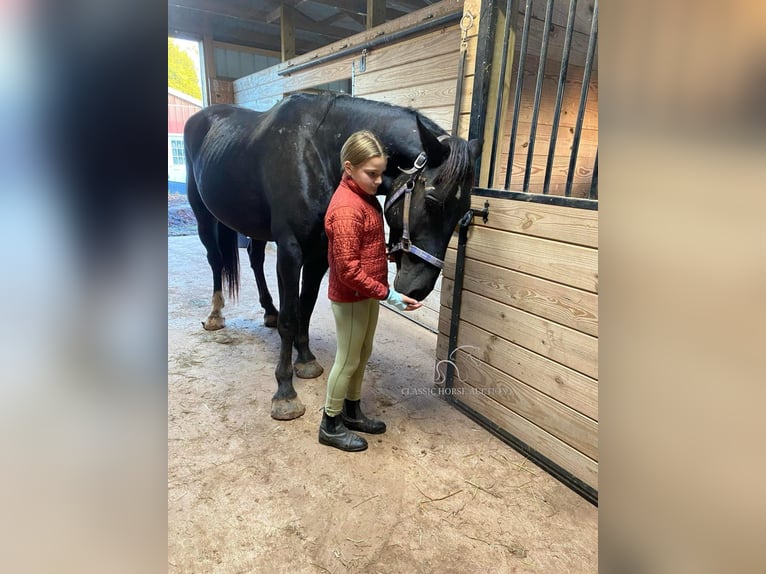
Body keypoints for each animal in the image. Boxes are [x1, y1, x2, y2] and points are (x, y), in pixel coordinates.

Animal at [184, 92, 480, 420]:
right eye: (431, 201)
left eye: (463, 212)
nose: (417, 289)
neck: (317, 151)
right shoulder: (290, 250)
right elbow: (291, 317)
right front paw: (285, 392)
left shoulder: (319, 252)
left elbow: (306, 306)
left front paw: (305, 359)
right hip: (201, 212)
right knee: (215, 259)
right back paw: (215, 315)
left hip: (255, 226)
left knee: (255, 258)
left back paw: (269, 310)